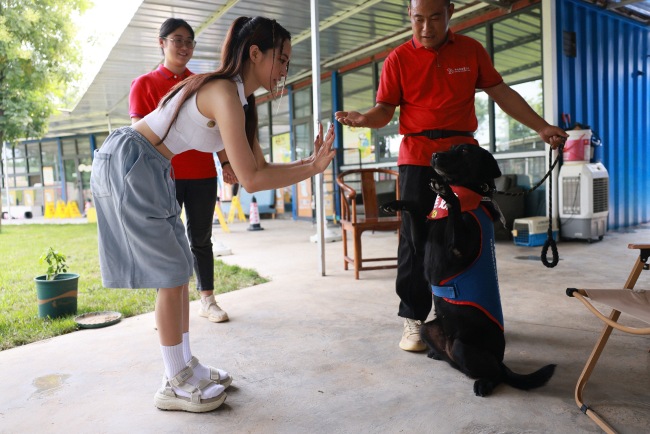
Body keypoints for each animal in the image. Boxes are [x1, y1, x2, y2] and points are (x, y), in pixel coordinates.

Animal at [382, 143, 556, 396]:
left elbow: (454, 205)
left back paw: (484, 383)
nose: (434, 155)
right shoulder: (421, 245)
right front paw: (396, 203)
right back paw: (437, 354)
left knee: (493, 374)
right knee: (454, 362)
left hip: (463, 347)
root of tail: (500, 360)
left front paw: (447, 193)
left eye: (464, 151)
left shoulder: (458, 249)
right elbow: (414, 208)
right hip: (427, 331)